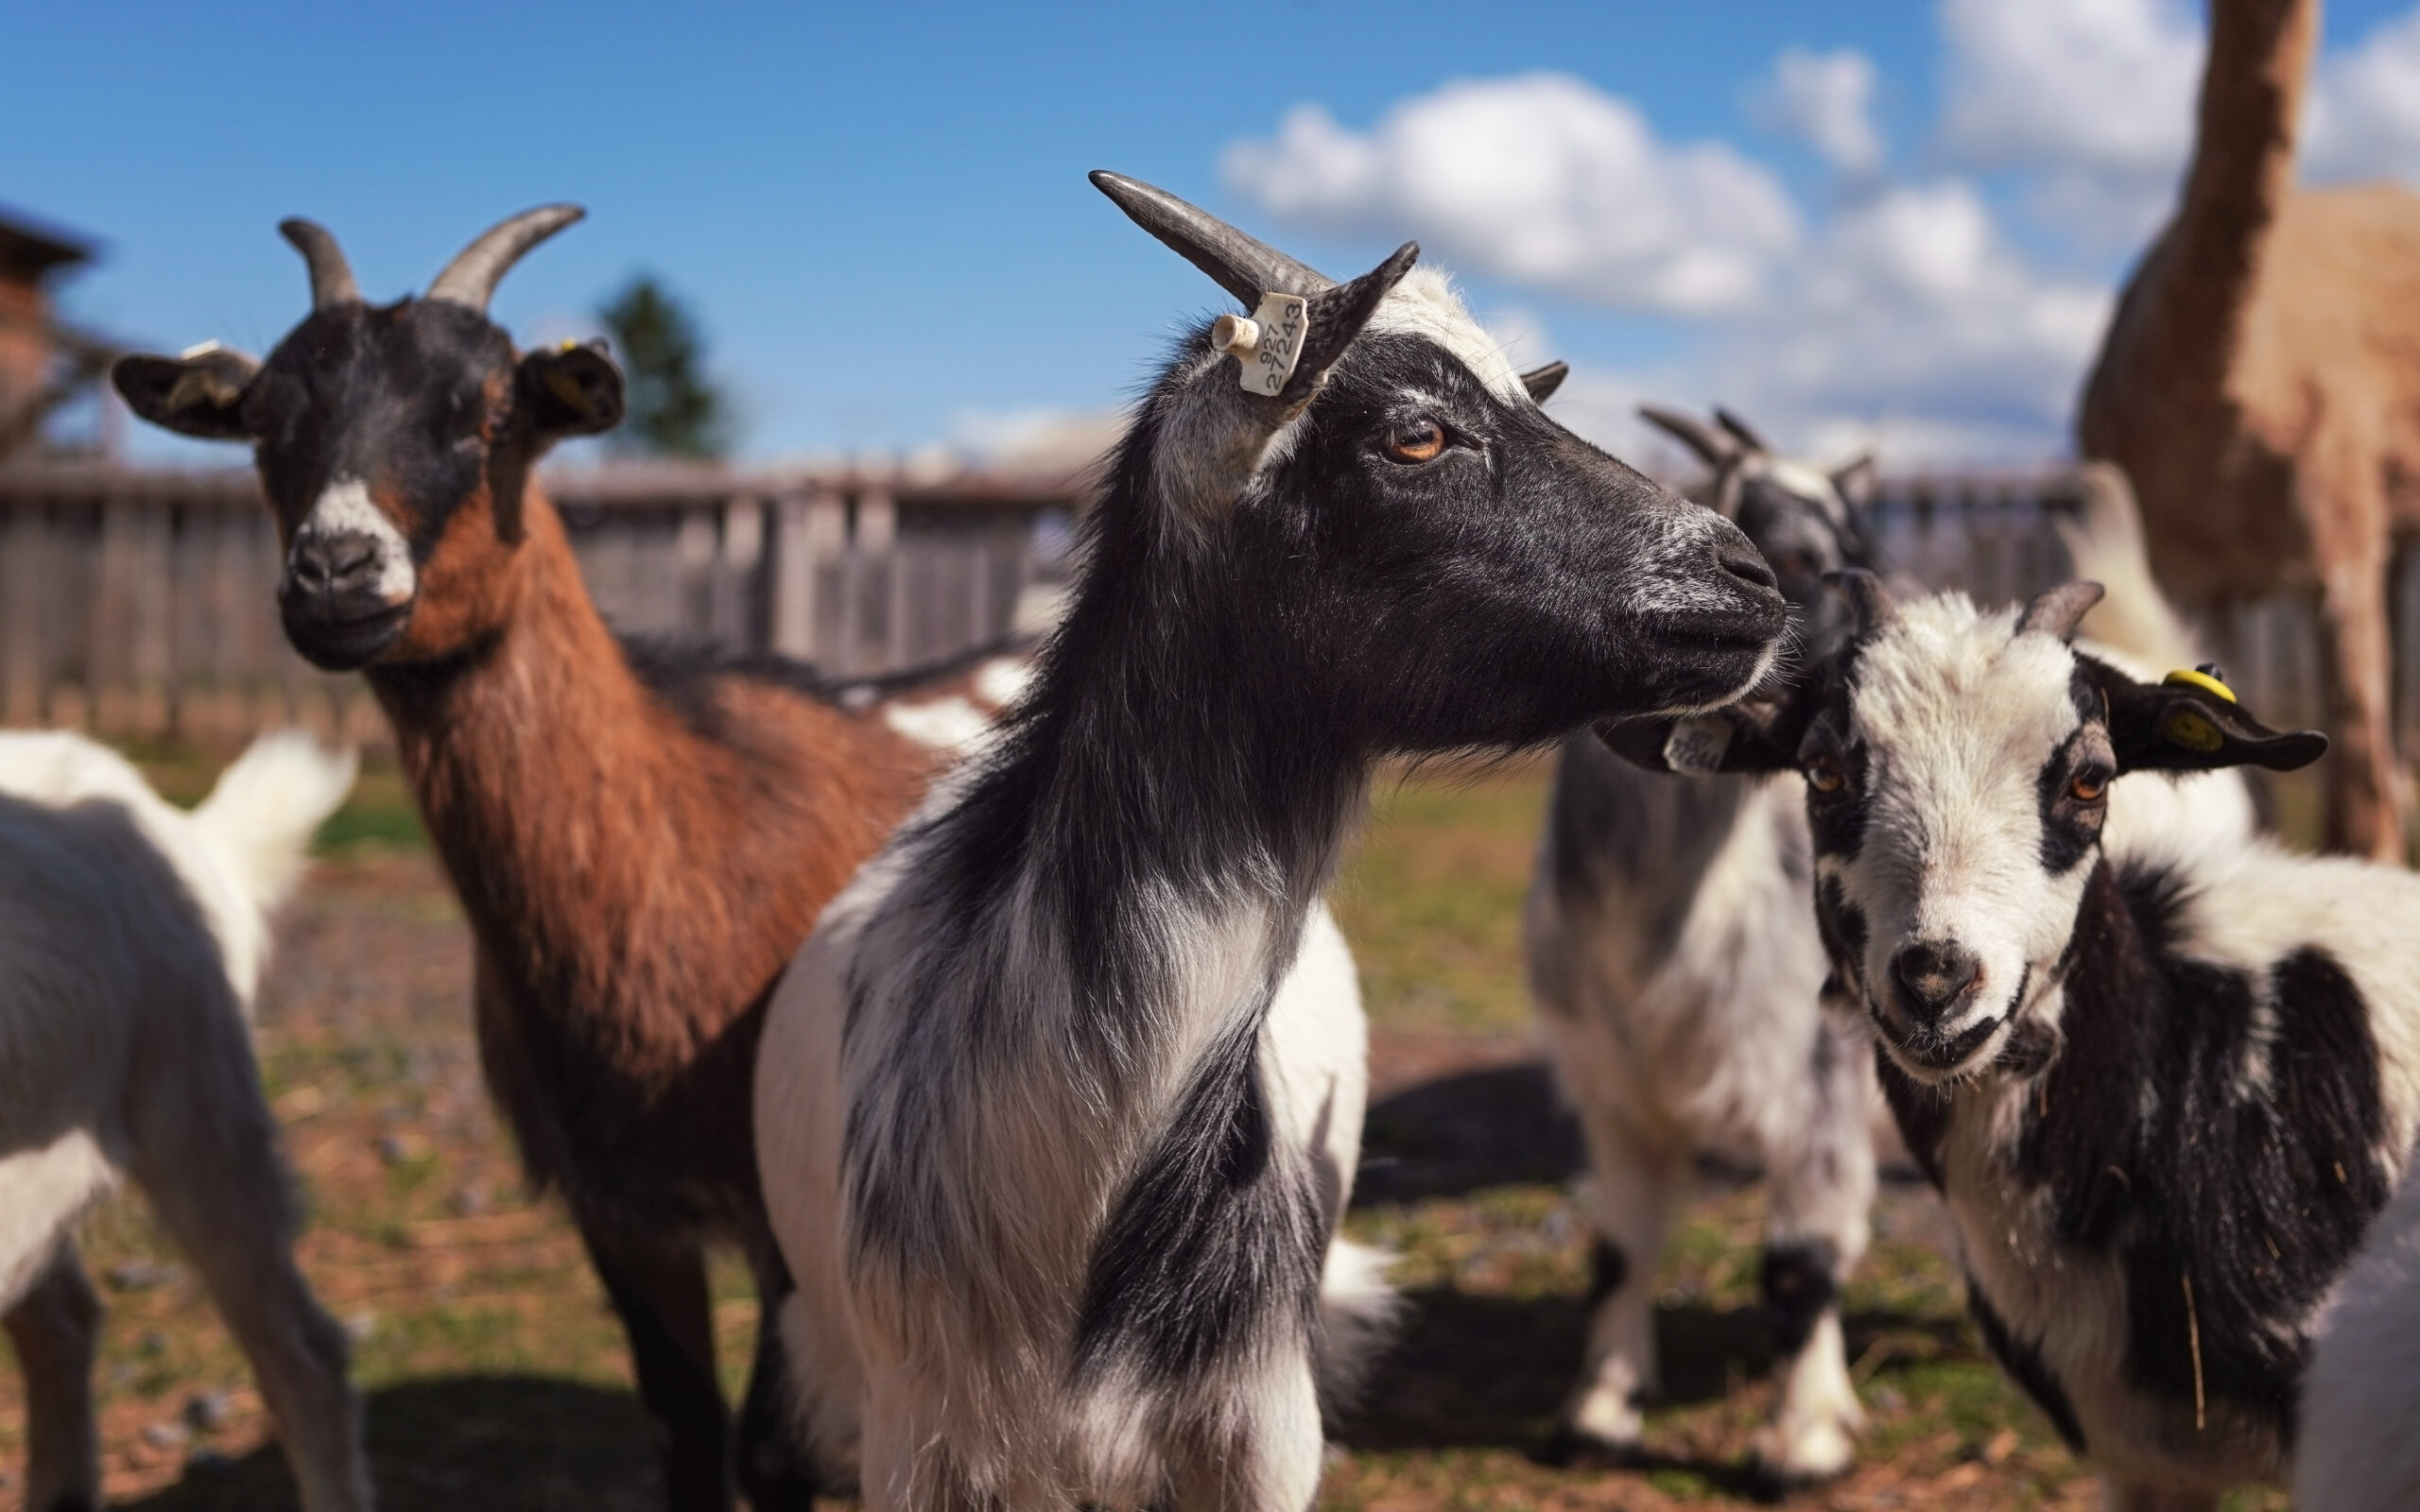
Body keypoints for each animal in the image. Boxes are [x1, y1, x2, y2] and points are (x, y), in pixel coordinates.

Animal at [113, 209, 992, 1509]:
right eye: (266, 422)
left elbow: (773, 1452)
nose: (334, 570)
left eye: (491, 415)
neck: (686, 840)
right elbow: (684, 1430)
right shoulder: (616, 1207)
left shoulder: (799, 1214)